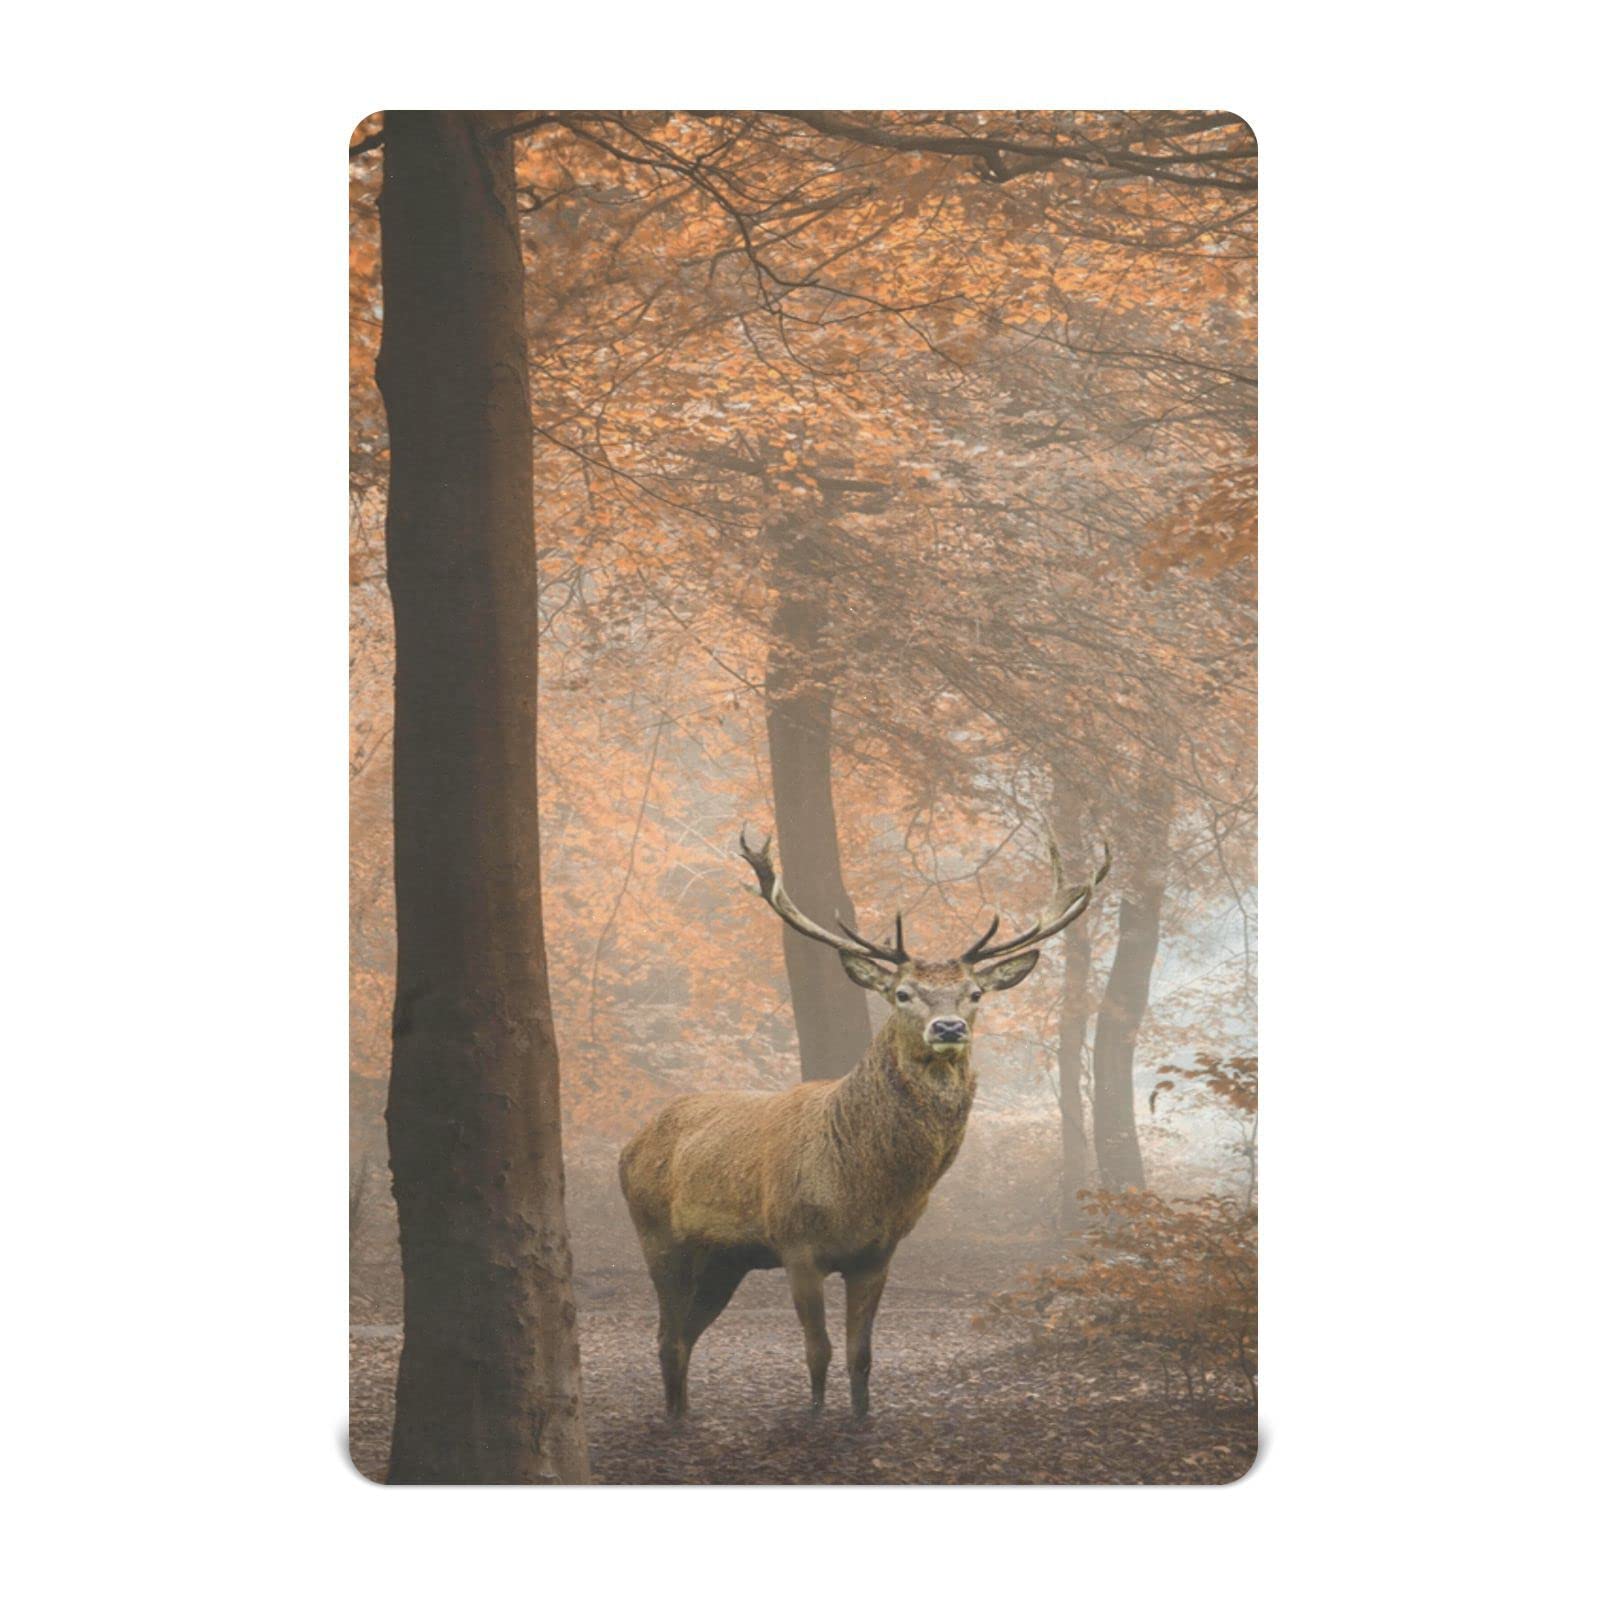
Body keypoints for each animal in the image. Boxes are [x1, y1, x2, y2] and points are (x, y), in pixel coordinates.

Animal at [618, 824, 1110, 1421]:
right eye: (902, 993)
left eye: (974, 994)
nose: (948, 1027)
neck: (862, 1185)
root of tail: (630, 1144)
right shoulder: (796, 1245)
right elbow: (818, 1351)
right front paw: (812, 1416)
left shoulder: (878, 1253)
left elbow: (862, 1355)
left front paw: (860, 1417)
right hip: (657, 1233)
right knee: (667, 1335)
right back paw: (674, 1419)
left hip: (724, 1259)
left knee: (686, 1333)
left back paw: (685, 1411)